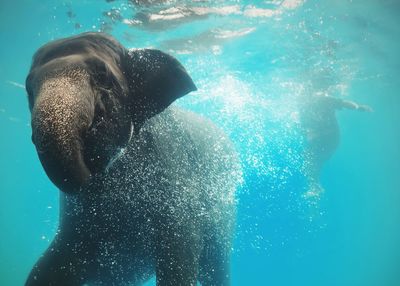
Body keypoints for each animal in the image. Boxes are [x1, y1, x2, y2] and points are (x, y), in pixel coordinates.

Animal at [25, 32, 244, 284]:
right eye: (28, 89)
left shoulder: (174, 183)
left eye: (102, 74)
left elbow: (180, 256)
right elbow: (48, 269)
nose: (86, 174)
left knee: (216, 269)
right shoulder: (73, 227)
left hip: (224, 218)